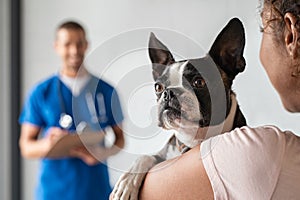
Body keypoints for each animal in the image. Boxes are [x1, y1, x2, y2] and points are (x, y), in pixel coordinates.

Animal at [110, 18, 246, 199]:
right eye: (158, 87)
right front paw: (126, 183)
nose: (168, 92)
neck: (191, 139)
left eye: (199, 82)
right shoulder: (162, 153)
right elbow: (145, 156)